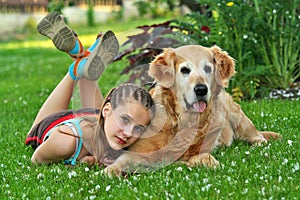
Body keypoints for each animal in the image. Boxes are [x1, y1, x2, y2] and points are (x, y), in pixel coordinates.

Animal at [103, 44, 282, 176]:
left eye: (208, 69)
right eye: (184, 70)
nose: (201, 89)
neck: (184, 120)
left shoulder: (199, 151)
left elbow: (205, 158)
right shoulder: (138, 152)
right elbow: (121, 162)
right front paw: (105, 173)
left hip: (237, 116)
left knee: (258, 137)